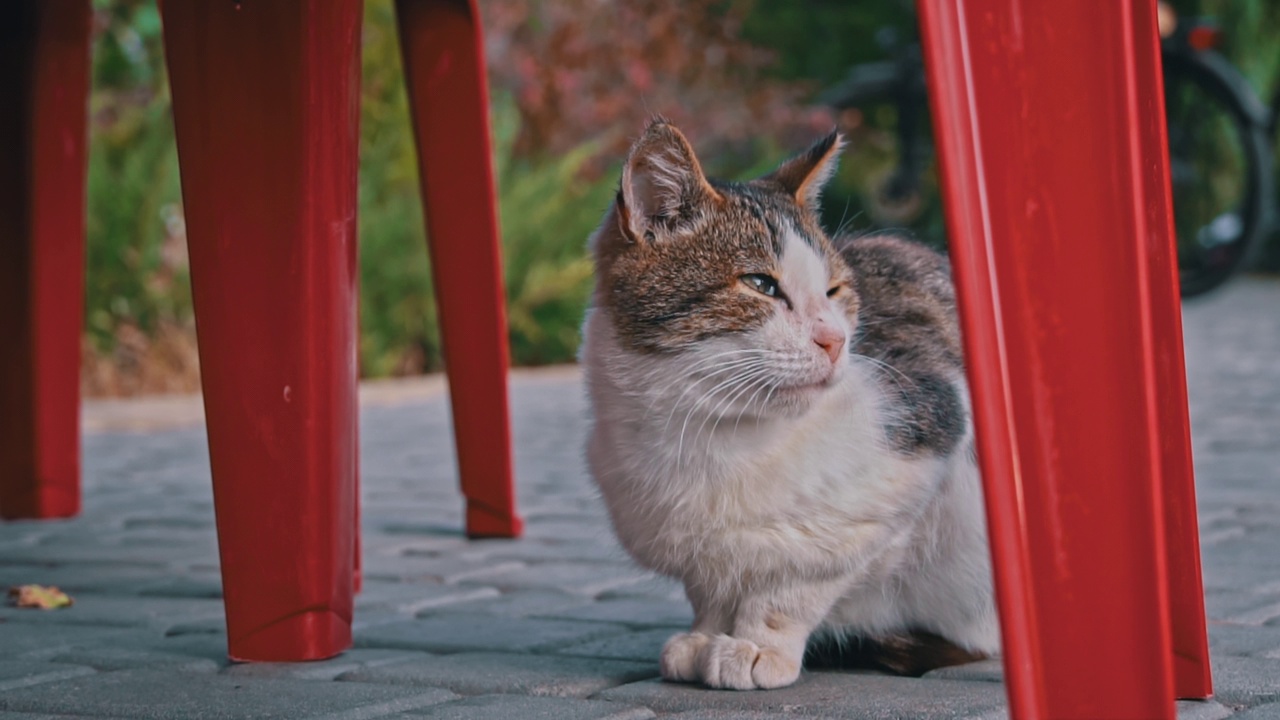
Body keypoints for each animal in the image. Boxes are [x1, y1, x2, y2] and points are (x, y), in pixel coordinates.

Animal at [581, 119, 998, 691]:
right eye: (760, 283)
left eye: (835, 290)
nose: (835, 340)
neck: (712, 430)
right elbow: (713, 584)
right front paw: (706, 634)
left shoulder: (917, 448)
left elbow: (794, 581)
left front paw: (759, 644)